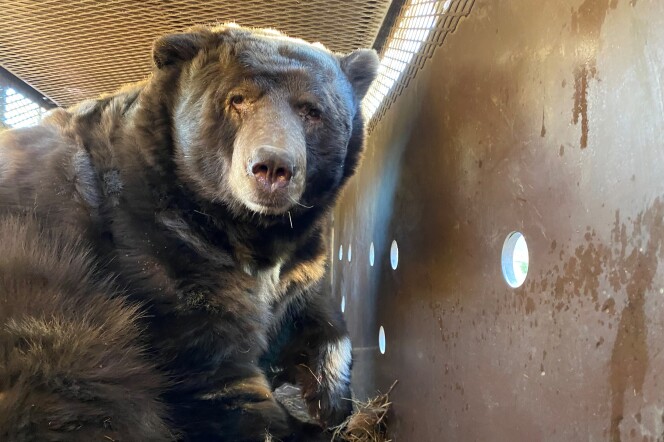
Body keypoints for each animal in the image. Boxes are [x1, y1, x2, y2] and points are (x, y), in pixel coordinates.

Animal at [0, 24, 378, 441]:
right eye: (237, 99)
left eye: (312, 110)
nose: (273, 166)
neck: (248, 229)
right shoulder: (160, 252)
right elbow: (216, 375)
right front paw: (307, 425)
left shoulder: (299, 264)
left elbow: (317, 313)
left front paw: (331, 399)